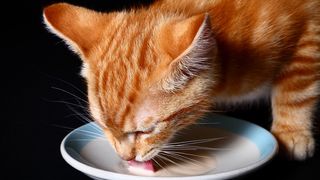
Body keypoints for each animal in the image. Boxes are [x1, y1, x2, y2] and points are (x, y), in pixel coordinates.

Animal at [43, 0, 320, 160]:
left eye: (146, 131)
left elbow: (296, 90)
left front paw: (291, 132)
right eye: (102, 126)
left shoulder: (311, 32)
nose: (125, 159)